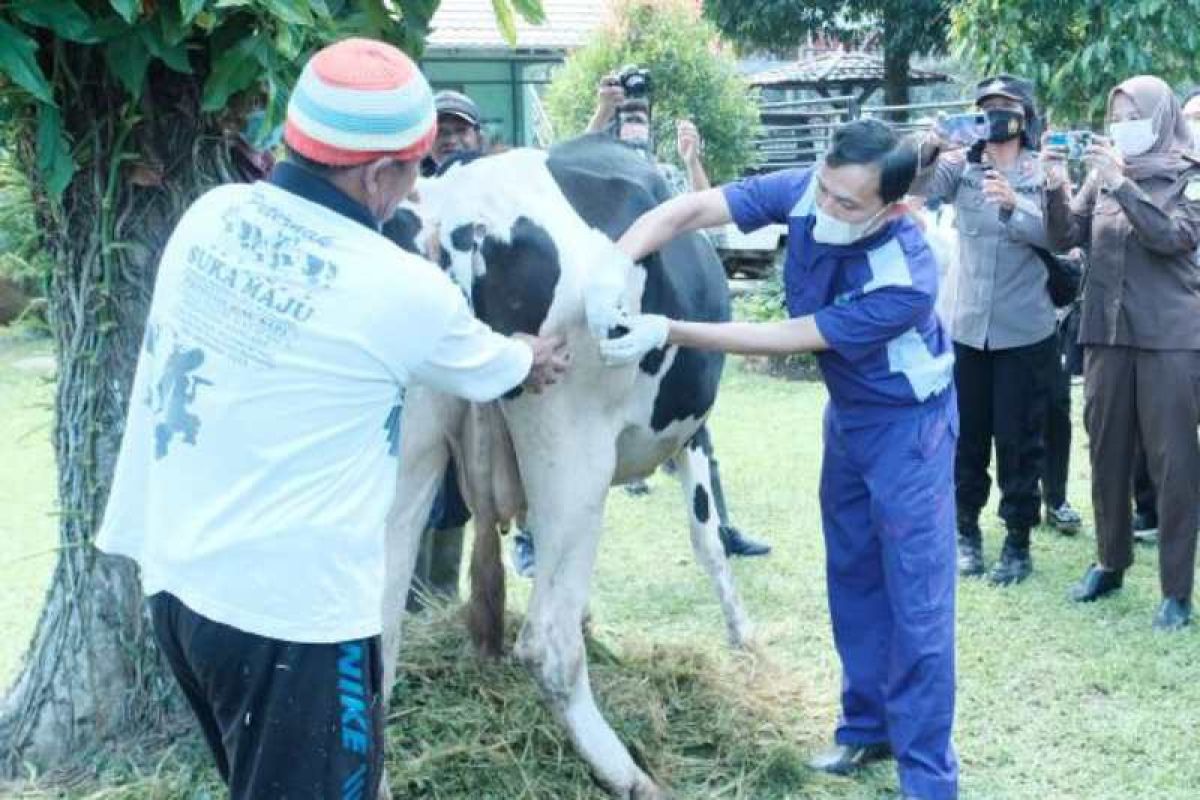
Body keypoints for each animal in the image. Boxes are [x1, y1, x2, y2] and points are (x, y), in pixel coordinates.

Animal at [376, 134, 748, 796]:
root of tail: (457, 212)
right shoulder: (692, 433)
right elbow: (709, 539)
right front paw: (742, 640)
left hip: (411, 445)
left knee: (379, 630)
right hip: (573, 451)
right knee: (547, 643)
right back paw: (629, 773)